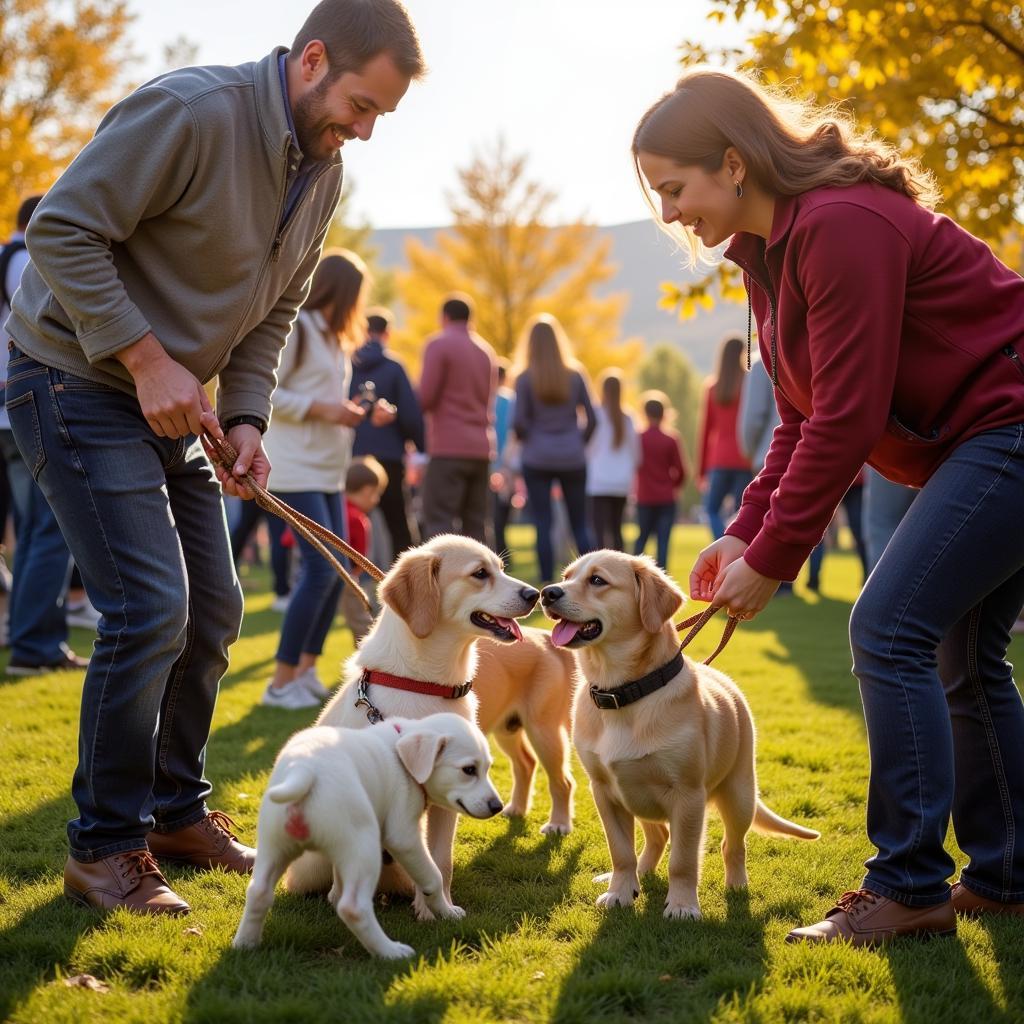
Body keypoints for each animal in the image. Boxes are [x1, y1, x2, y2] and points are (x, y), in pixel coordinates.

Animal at [233, 712, 503, 958]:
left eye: (488, 768)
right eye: (469, 770)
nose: (498, 807)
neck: (401, 750)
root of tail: (305, 771)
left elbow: (338, 880)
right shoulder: (404, 835)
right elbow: (432, 877)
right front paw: (447, 912)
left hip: (274, 846)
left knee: (258, 892)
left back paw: (245, 944)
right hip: (364, 846)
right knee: (353, 907)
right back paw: (391, 952)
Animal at [284, 532, 536, 917]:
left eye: (501, 568)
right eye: (480, 574)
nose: (537, 594)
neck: (426, 685)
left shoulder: (450, 801)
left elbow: (440, 862)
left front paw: (437, 909)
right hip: (311, 863)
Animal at [475, 626, 581, 835]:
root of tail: (546, 637)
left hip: (544, 730)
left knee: (564, 782)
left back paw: (559, 824)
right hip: (506, 728)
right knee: (526, 763)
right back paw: (517, 808)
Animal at [540, 552, 819, 921]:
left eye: (597, 580)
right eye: (566, 577)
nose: (546, 593)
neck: (625, 693)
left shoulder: (688, 796)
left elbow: (683, 860)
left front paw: (683, 905)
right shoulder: (603, 791)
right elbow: (621, 851)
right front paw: (620, 891)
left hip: (739, 793)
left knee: (733, 845)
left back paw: (737, 885)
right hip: (637, 795)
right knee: (657, 836)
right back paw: (636, 875)